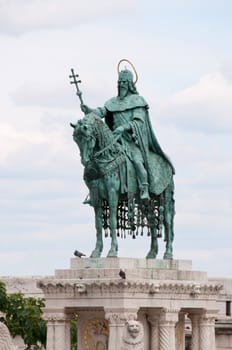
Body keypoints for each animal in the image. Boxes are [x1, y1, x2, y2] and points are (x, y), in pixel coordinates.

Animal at [70, 113, 174, 260]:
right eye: (75, 139)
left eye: (88, 138)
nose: (85, 162)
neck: (106, 156)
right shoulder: (96, 197)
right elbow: (98, 224)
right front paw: (96, 251)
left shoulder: (112, 193)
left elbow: (113, 220)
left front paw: (112, 251)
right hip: (144, 202)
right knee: (152, 220)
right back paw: (152, 253)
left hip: (165, 195)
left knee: (168, 222)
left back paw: (168, 253)